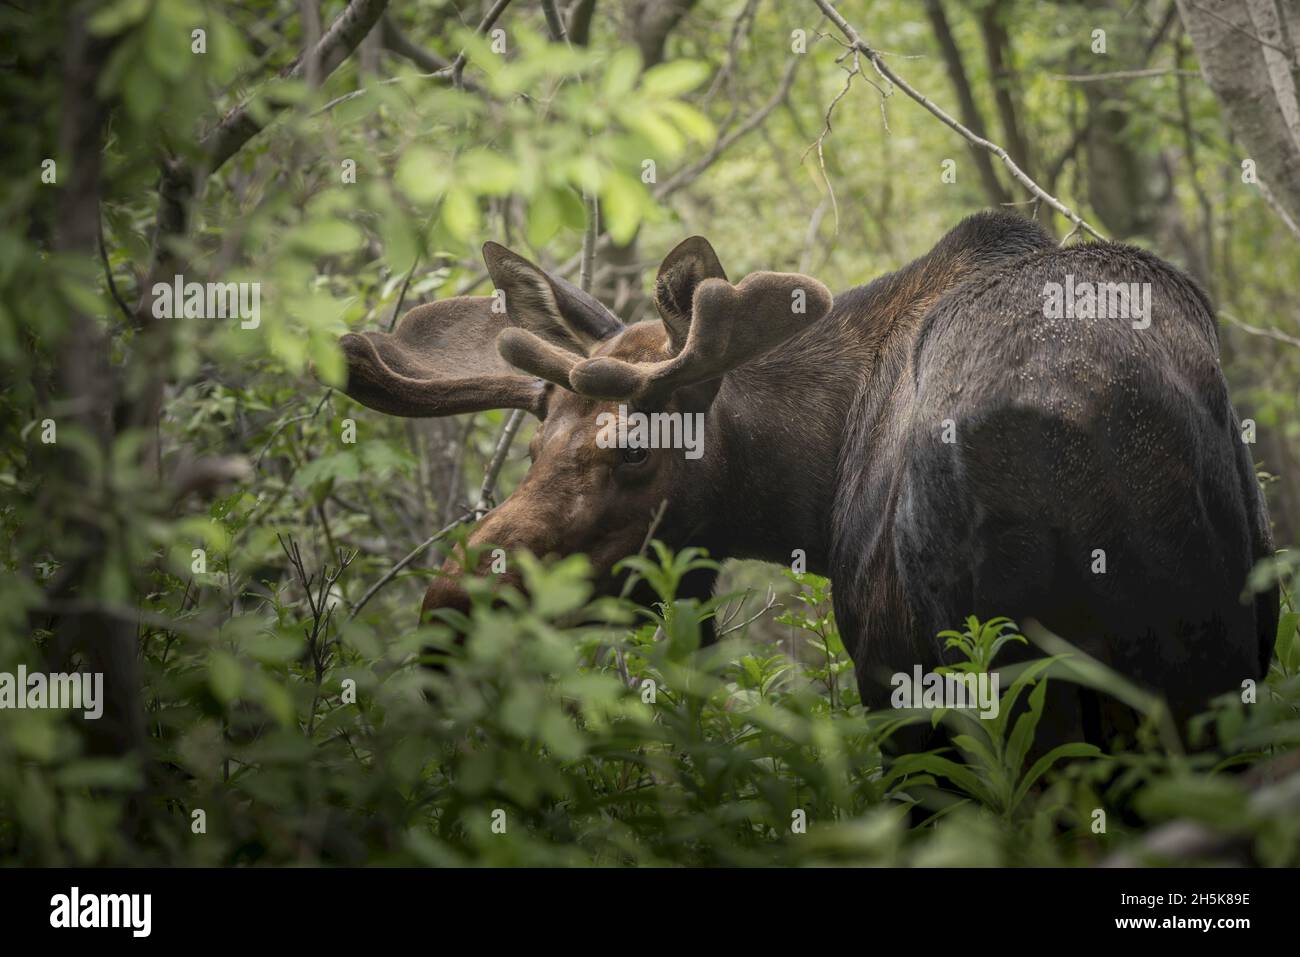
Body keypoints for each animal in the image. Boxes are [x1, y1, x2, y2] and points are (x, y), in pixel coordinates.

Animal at [338, 213, 1279, 743]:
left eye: (635, 451)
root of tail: (1085, 420)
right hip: (1201, 673)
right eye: (533, 450)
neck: (811, 496)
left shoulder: (893, 686)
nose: (448, 604)